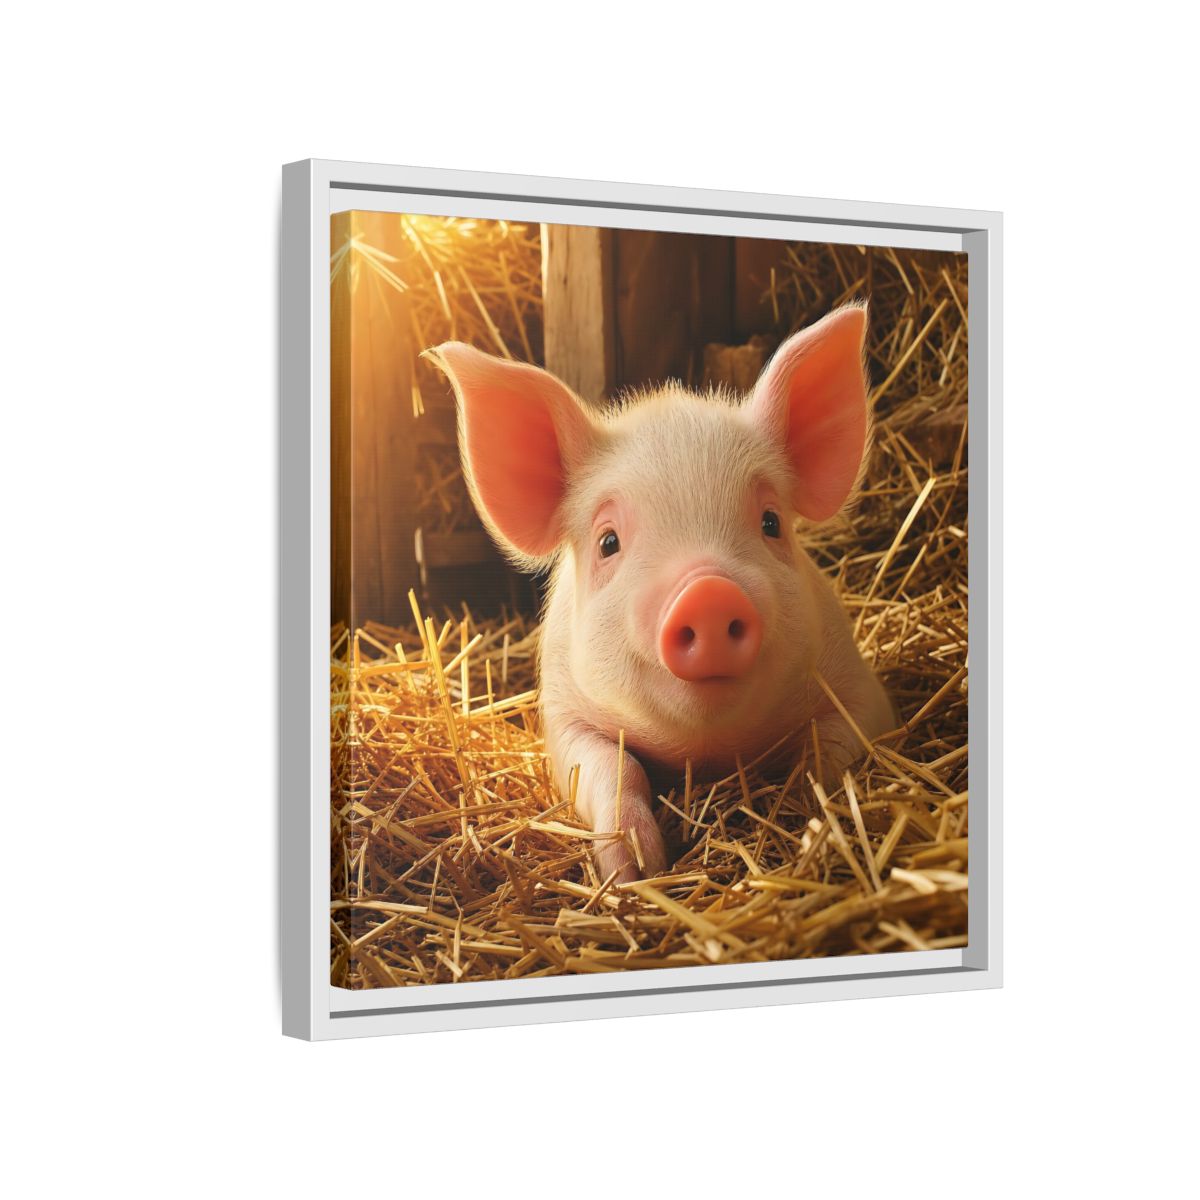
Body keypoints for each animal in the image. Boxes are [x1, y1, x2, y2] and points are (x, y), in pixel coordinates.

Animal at [430, 303, 895, 884]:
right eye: (608, 541)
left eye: (771, 522)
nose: (708, 592)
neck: (707, 751)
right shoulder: (562, 714)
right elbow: (614, 767)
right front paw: (633, 872)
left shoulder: (858, 687)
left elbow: (829, 748)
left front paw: (808, 818)